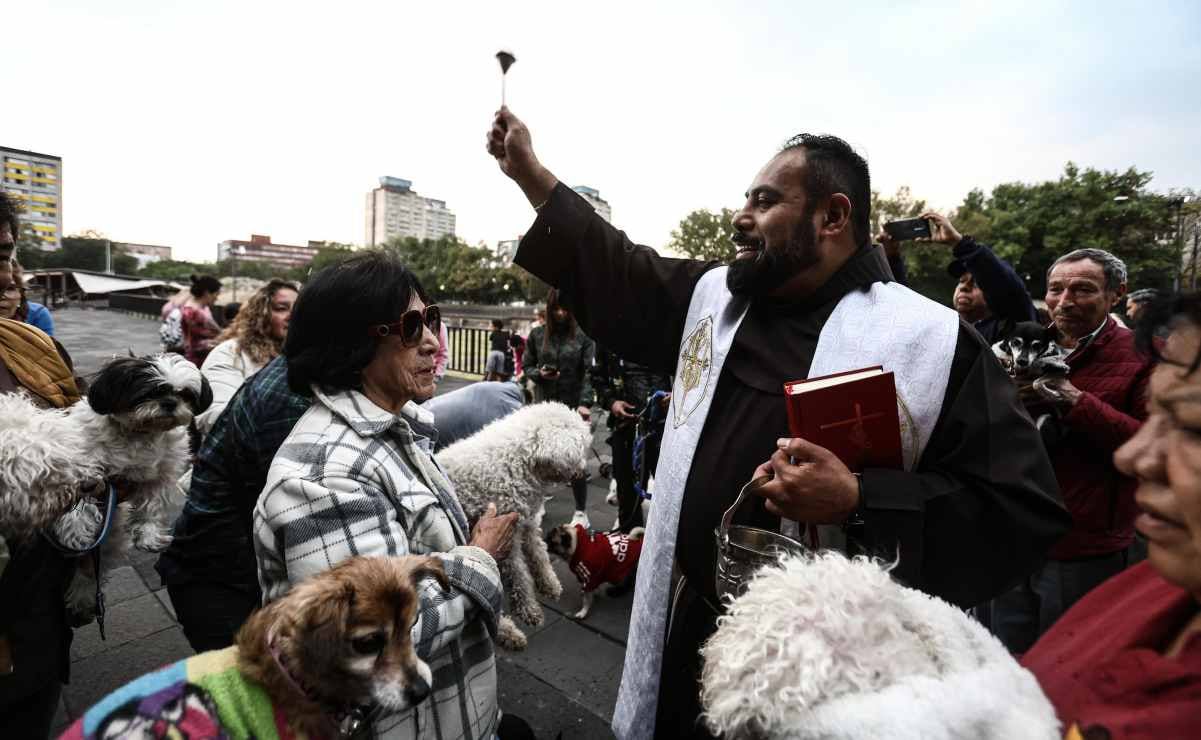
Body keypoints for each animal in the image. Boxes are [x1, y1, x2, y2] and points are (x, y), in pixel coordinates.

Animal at [0, 355, 211, 619]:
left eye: (185, 395)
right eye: (149, 392)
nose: (170, 403)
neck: (140, 433)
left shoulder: (160, 476)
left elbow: (151, 507)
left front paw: (149, 534)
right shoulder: (88, 468)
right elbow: (81, 504)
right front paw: (76, 529)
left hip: (110, 541)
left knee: (90, 571)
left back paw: (83, 597)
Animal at [439, 401, 593, 648]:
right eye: (580, 448)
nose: (585, 472)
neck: (520, 461)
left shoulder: (528, 521)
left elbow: (538, 553)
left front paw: (550, 584)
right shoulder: (506, 534)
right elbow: (520, 574)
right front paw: (530, 610)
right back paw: (508, 632)